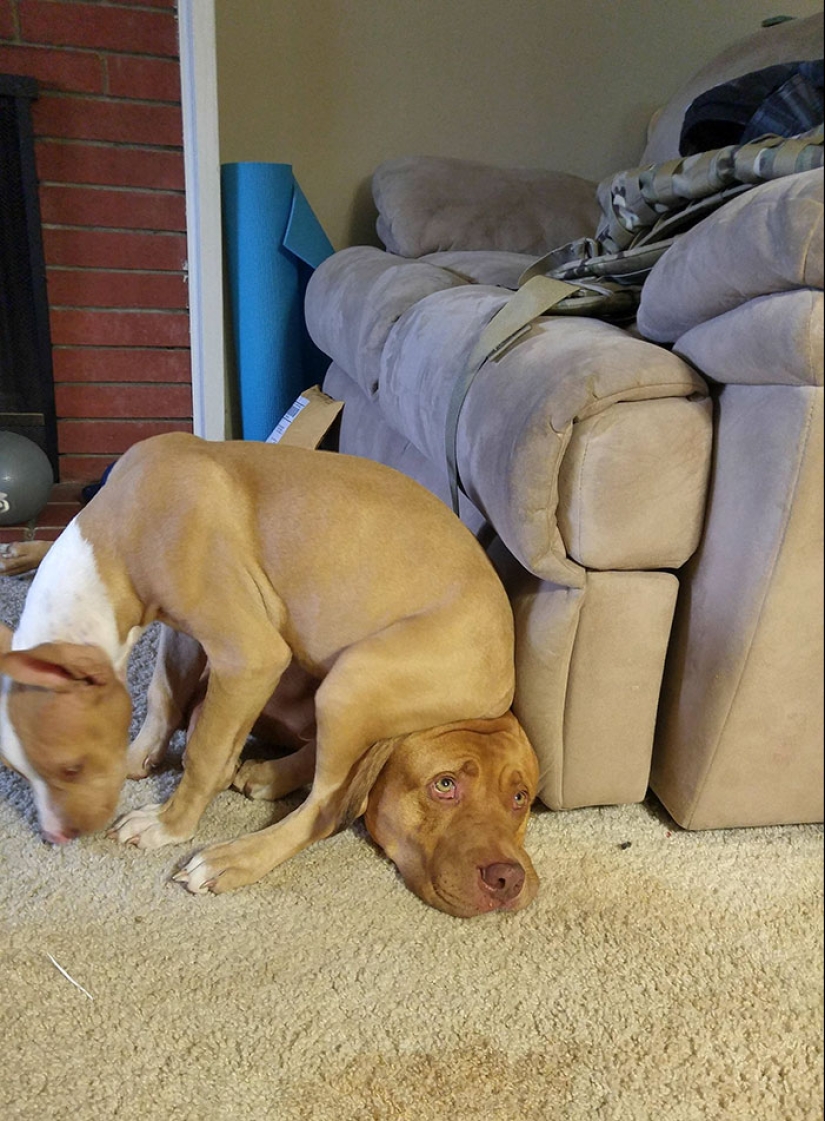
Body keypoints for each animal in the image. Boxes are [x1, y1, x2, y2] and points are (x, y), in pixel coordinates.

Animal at [0, 432, 538, 914]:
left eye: (71, 768)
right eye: (17, 770)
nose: (58, 836)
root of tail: (504, 684)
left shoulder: (249, 656)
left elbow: (203, 753)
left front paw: (168, 825)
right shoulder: (185, 632)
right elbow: (163, 694)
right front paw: (139, 756)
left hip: (350, 683)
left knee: (328, 806)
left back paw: (232, 858)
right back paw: (269, 775)